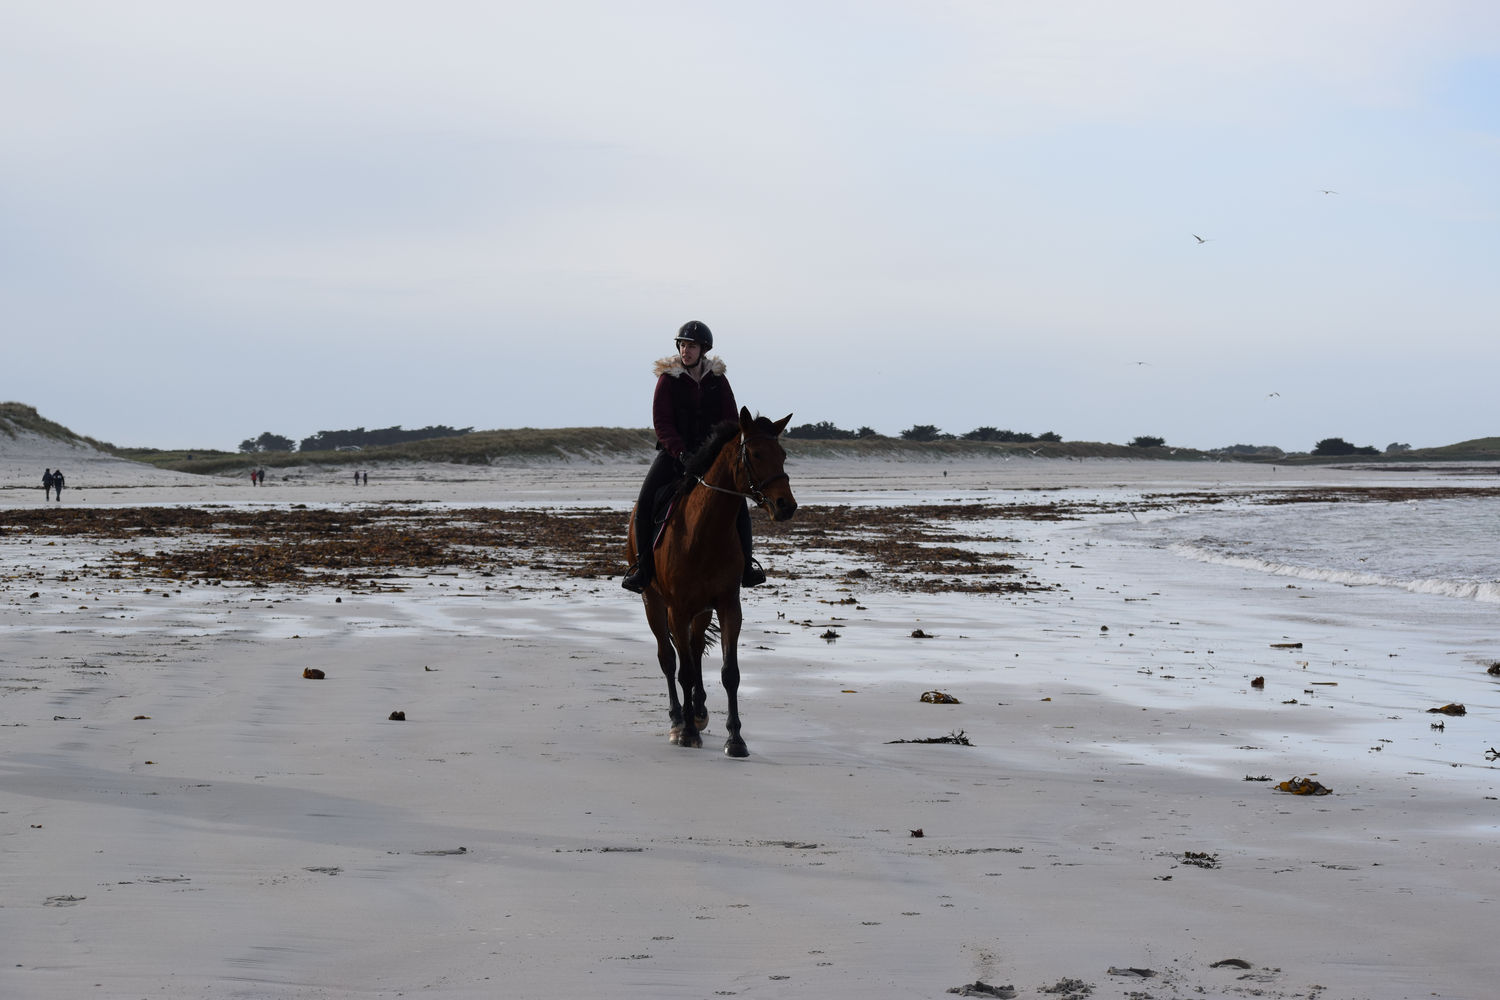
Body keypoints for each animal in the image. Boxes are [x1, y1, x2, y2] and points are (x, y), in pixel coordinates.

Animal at [630, 407, 804, 758]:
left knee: (695, 651)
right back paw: (677, 719)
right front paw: (686, 733)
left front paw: (735, 739)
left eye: (783, 455)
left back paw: (697, 711)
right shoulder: (677, 609)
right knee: (669, 659)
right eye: (755, 453)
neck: (702, 533)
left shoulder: (727, 605)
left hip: (702, 611)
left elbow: (729, 672)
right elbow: (681, 670)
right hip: (653, 603)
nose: (786, 505)